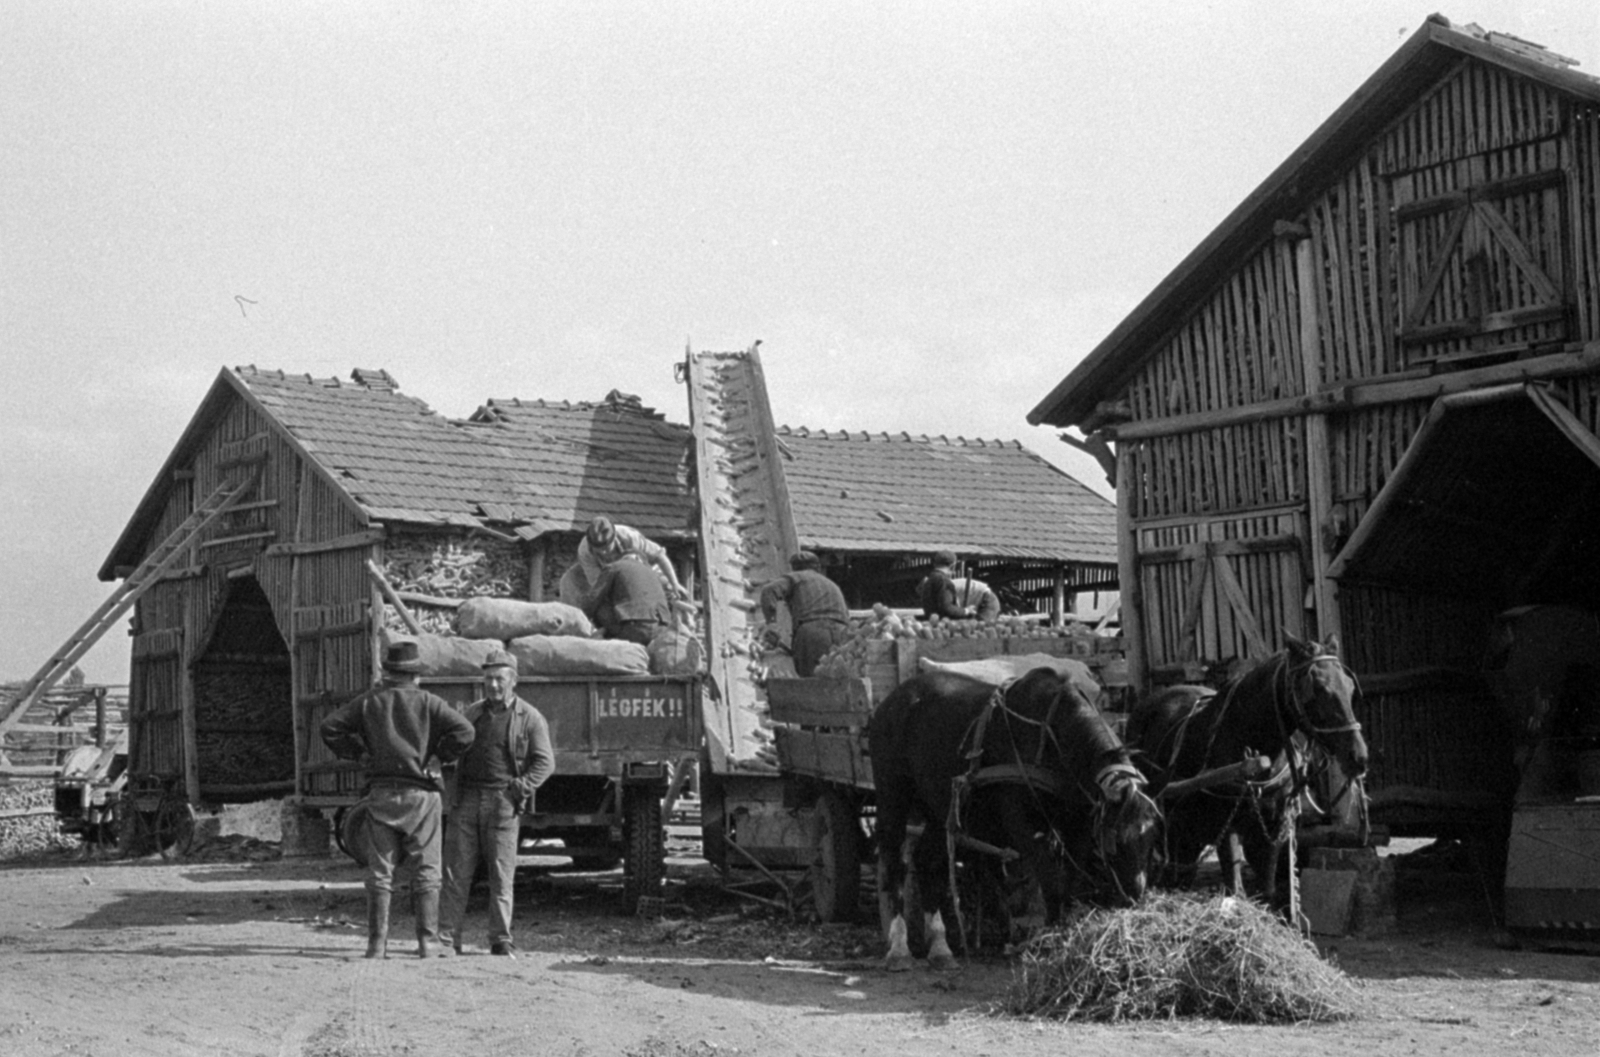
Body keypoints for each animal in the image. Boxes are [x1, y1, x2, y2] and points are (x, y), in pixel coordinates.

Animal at [864, 668, 1164, 972]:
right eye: (1117, 840)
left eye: (1151, 837)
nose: (1135, 894)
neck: (1053, 736)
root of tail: (892, 702)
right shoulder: (1021, 822)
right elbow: (1050, 877)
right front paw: (1052, 936)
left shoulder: (1076, 825)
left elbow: (1071, 880)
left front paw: (1069, 929)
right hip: (893, 796)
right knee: (893, 861)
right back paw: (899, 948)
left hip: (939, 808)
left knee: (927, 863)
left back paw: (940, 947)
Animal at [1126, 630, 1363, 901]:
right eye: (1317, 689)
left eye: (1350, 686)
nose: (1358, 756)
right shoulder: (1227, 827)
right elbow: (1236, 888)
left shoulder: (1275, 827)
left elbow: (1268, 889)